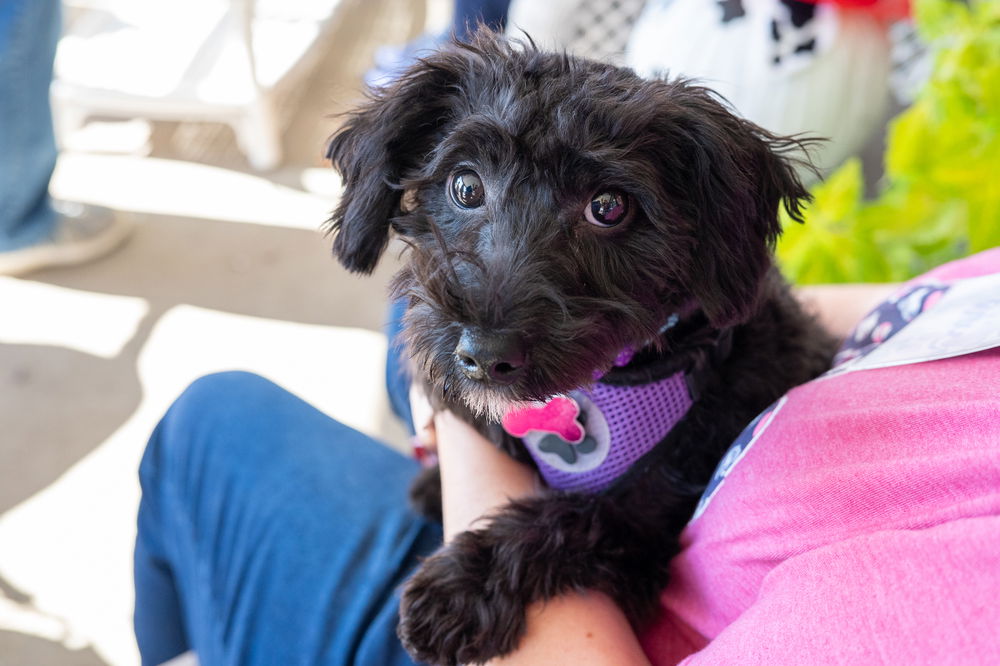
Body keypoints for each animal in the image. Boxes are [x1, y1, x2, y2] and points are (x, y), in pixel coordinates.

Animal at [325, 30, 836, 666]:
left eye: (608, 206)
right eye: (466, 186)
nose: (483, 354)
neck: (611, 379)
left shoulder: (643, 531)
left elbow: (569, 518)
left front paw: (458, 589)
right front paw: (433, 481)